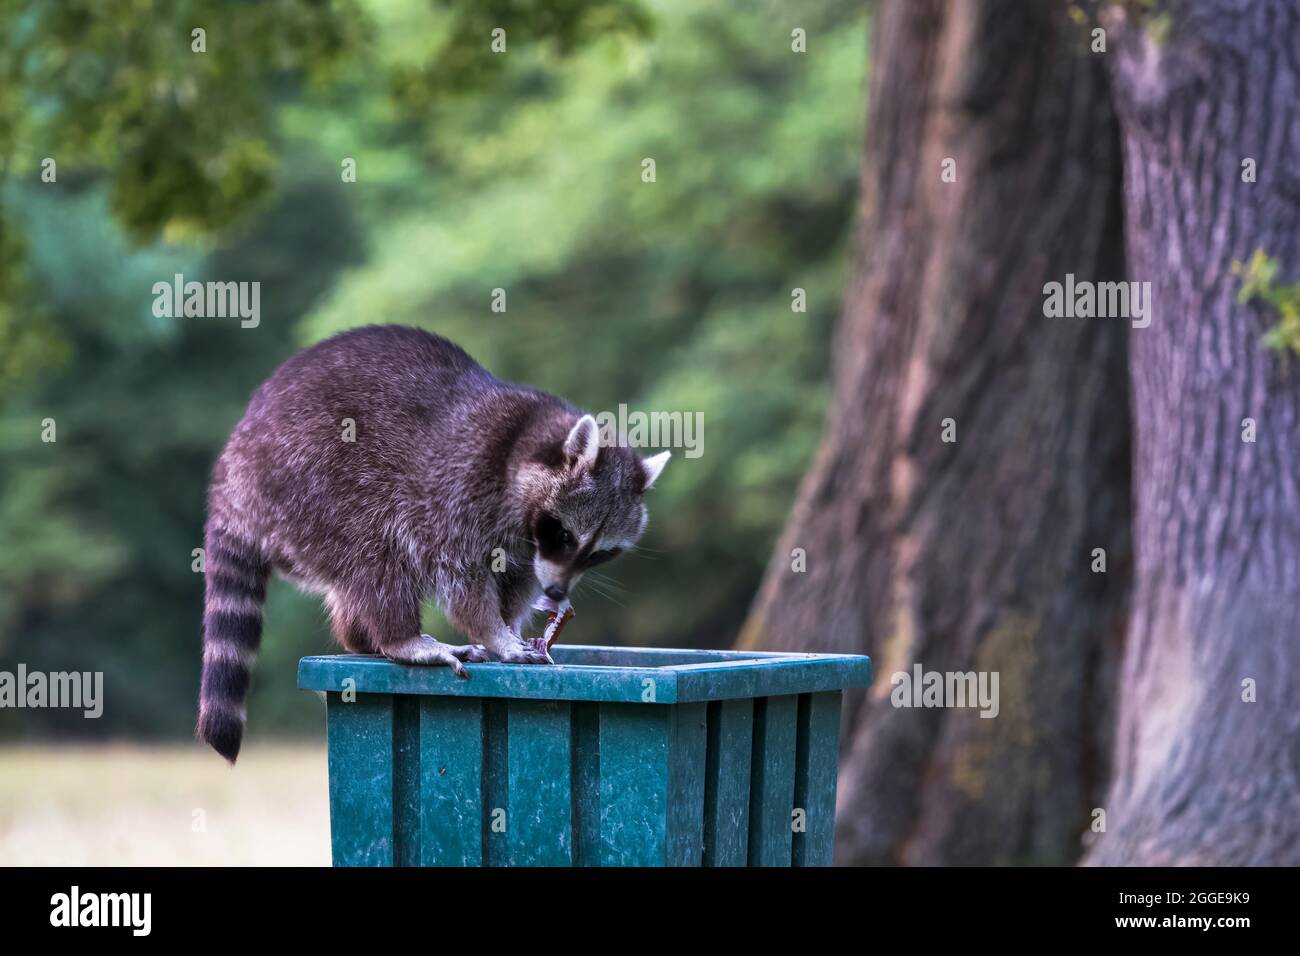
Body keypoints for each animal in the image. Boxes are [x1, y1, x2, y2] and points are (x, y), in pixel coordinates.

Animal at [197, 325, 669, 763]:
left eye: (600, 552)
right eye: (566, 535)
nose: (557, 592)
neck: (525, 444)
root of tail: (235, 465)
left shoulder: (527, 548)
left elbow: (517, 582)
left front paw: (511, 626)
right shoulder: (459, 489)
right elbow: (461, 579)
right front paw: (497, 634)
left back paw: (362, 636)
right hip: (310, 479)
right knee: (377, 550)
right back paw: (401, 639)